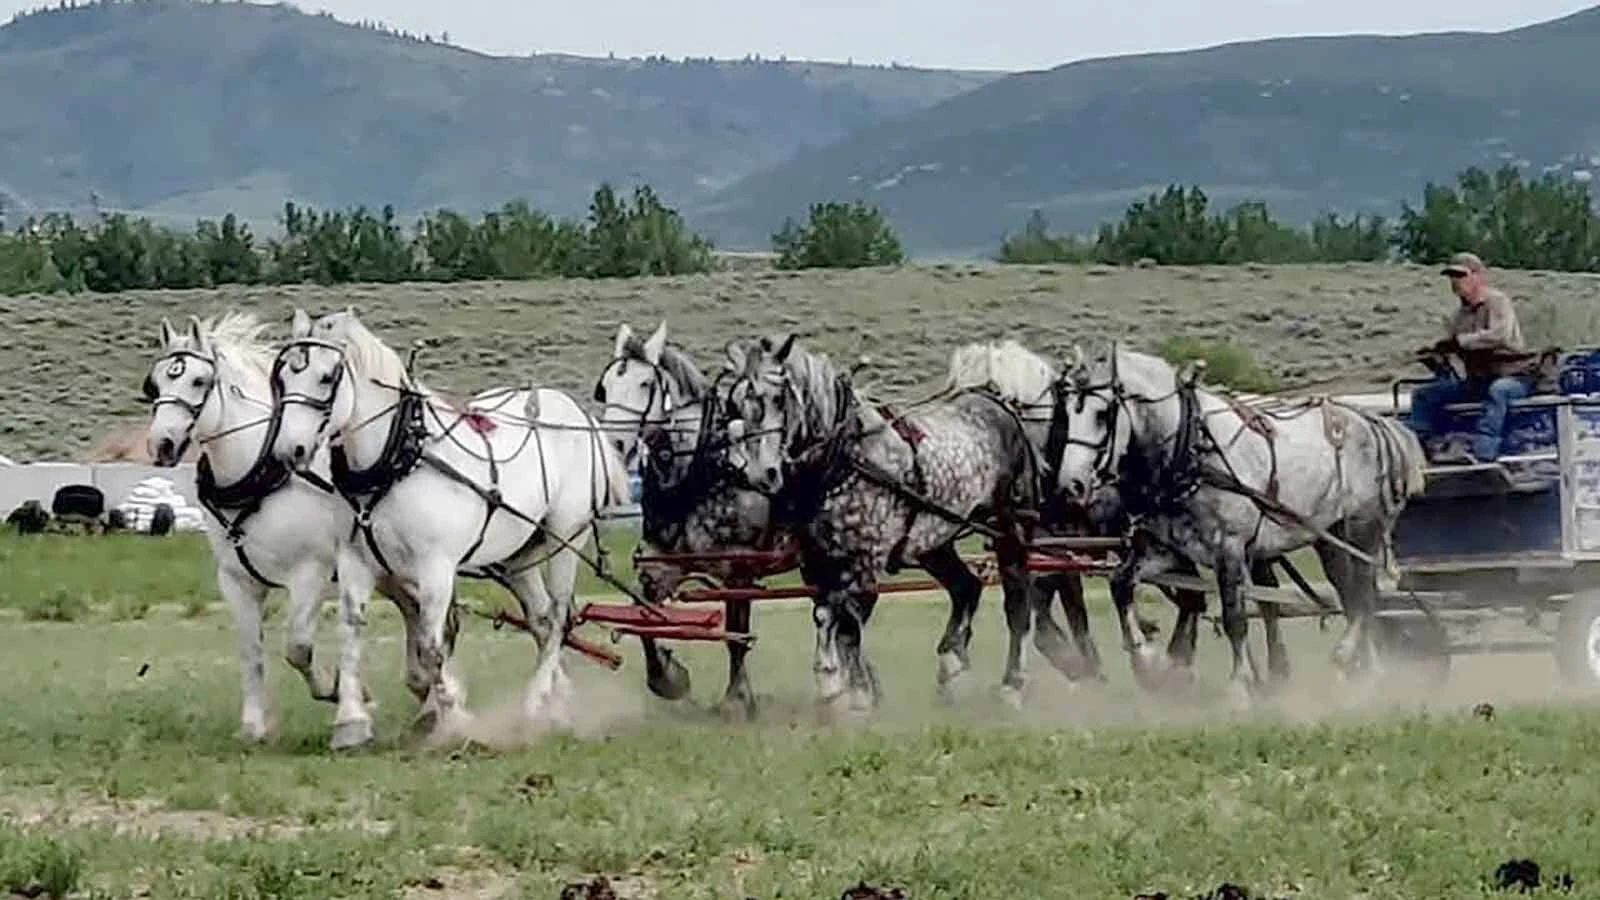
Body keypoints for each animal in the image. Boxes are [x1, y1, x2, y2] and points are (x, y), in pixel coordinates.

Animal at [141, 313, 381, 747]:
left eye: (198, 381)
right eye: (155, 383)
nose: (162, 444)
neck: (260, 473)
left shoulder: (310, 573)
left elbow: (298, 647)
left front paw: (337, 690)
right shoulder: (236, 580)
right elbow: (251, 651)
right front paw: (253, 727)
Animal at [266, 307, 632, 738]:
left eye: (326, 377)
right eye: (281, 379)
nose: (289, 451)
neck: (398, 459)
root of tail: (581, 417)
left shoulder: (436, 566)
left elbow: (432, 646)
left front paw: (452, 718)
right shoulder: (355, 560)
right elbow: (351, 630)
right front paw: (351, 721)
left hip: (566, 538)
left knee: (558, 619)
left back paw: (535, 701)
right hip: (518, 555)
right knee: (542, 622)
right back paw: (555, 708)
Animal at [718, 333, 1045, 715]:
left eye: (778, 398)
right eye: (733, 403)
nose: (761, 473)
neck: (846, 458)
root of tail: (995, 399)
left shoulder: (865, 561)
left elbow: (846, 622)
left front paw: (852, 695)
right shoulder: (817, 562)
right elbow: (826, 616)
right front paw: (839, 689)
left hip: (1010, 528)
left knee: (1018, 601)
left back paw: (1012, 685)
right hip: (935, 542)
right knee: (966, 587)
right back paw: (951, 667)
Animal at [1051, 343, 1427, 706]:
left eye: (1103, 414)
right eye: (1067, 413)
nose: (1071, 486)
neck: (1191, 449)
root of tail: (1376, 424)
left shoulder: (1228, 548)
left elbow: (1235, 618)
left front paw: (1239, 687)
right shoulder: (1168, 550)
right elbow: (1121, 584)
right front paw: (1148, 664)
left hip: (1362, 530)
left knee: (1363, 598)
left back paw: (1348, 659)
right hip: (1330, 539)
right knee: (1353, 597)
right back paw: (1366, 673)